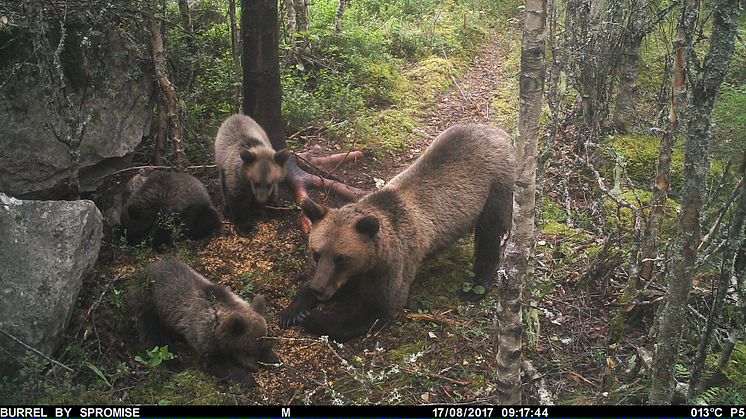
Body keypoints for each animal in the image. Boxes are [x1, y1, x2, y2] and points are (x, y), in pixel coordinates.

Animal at [134, 258, 280, 388]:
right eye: (248, 350)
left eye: (258, 348)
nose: (254, 367)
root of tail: (148, 267)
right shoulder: (204, 337)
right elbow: (217, 364)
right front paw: (247, 380)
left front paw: (272, 358)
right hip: (150, 304)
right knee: (155, 336)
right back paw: (176, 364)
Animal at [278, 124, 512, 342]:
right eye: (316, 253)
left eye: (341, 258)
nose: (319, 289)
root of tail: (499, 132)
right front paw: (292, 310)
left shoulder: (393, 263)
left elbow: (378, 307)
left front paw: (313, 318)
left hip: (495, 187)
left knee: (489, 235)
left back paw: (474, 286)